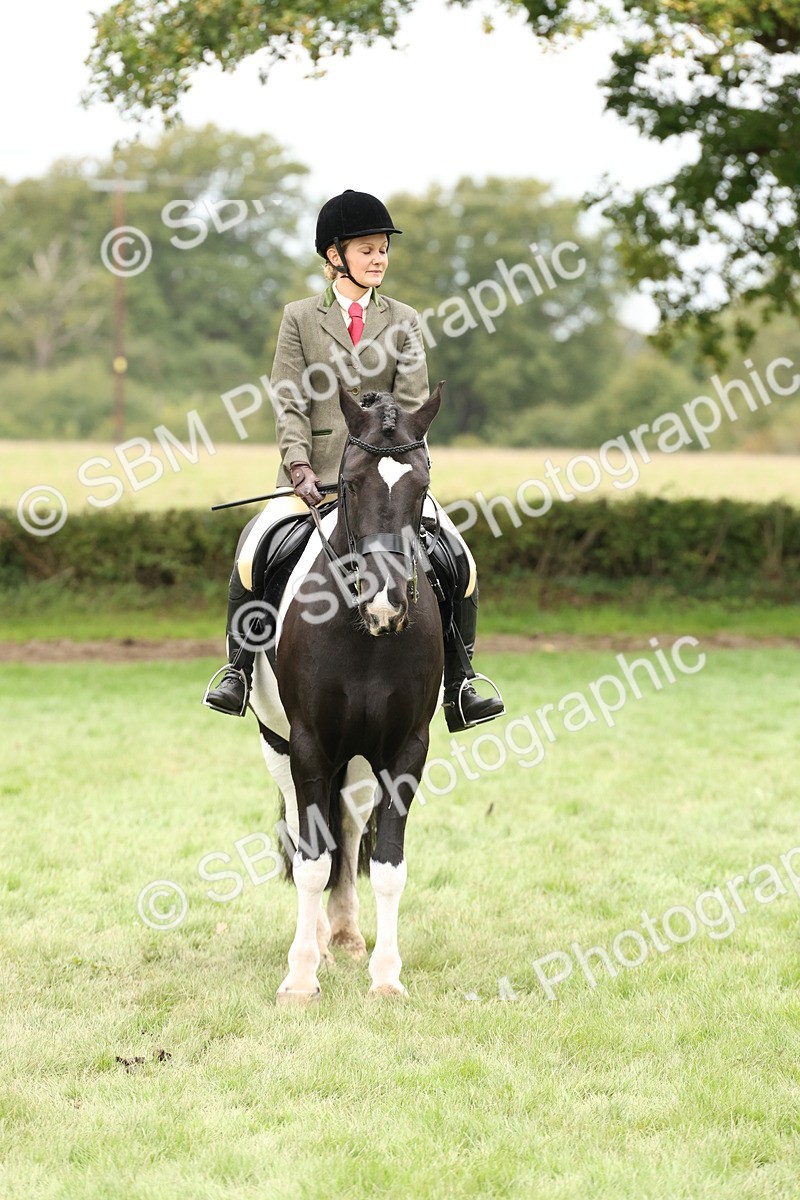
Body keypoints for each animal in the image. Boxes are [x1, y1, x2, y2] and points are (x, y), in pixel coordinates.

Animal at [248, 380, 444, 1004]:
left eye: (421, 485)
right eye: (353, 482)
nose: (385, 602)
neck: (364, 634)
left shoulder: (406, 747)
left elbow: (387, 864)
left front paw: (386, 977)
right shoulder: (309, 743)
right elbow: (312, 860)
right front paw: (301, 977)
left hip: (358, 759)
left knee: (352, 828)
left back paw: (346, 938)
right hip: (278, 744)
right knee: (304, 831)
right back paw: (318, 947)